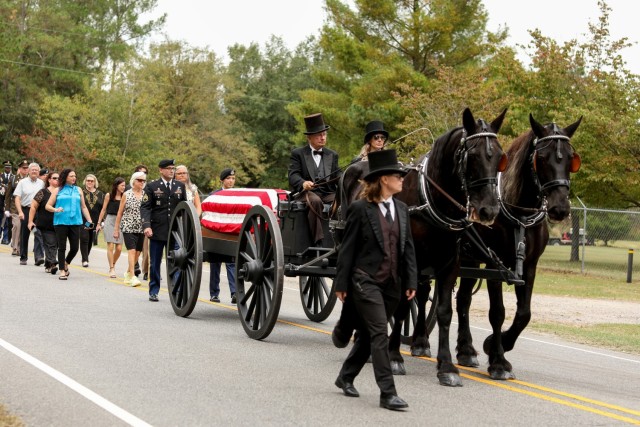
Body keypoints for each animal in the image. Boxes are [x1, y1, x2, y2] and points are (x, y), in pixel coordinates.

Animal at [452, 113, 584, 382]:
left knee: (463, 300)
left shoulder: (530, 266)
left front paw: (496, 345)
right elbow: (497, 312)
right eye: (541, 158)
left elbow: (524, 314)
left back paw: (466, 350)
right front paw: (499, 362)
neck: (518, 214)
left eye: (571, 159)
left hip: (470, 260)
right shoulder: (495, 265)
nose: (559, 208)